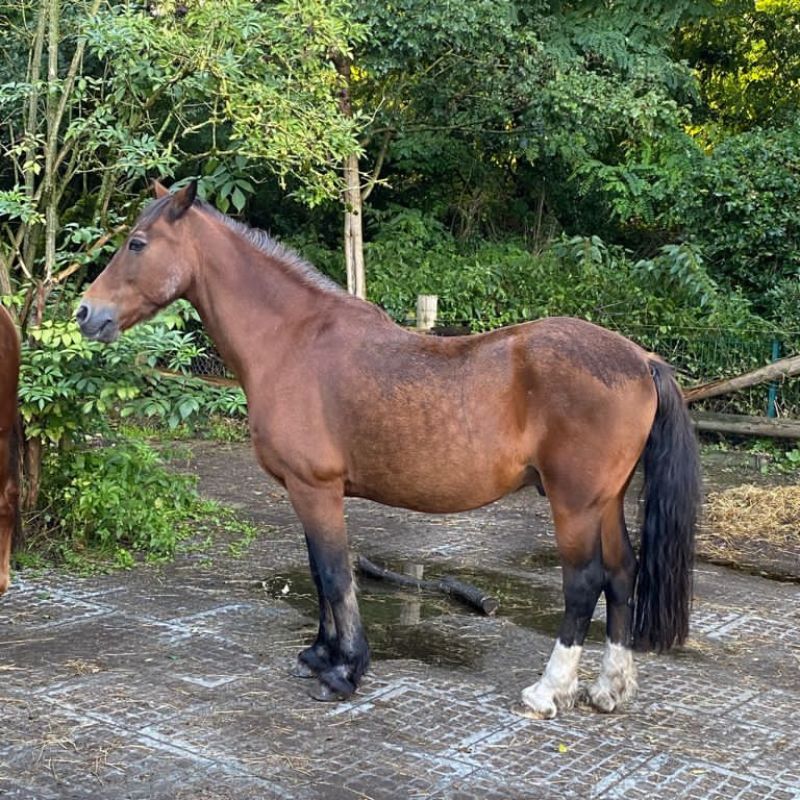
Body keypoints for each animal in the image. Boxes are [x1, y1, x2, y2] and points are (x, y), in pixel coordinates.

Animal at [77, 180, 700, 718]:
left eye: (137, 243)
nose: (85, 312)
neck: (291, 340)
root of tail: (641, 359)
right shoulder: (309, 493)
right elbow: (319, 571)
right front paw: (320, 656)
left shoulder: (315, 488)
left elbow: (333, 575)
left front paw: (345, 671)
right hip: (605, 501)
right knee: (622, 575)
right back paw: (610, 688)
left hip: (573, 505)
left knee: (584, 584)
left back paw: (548, 691)